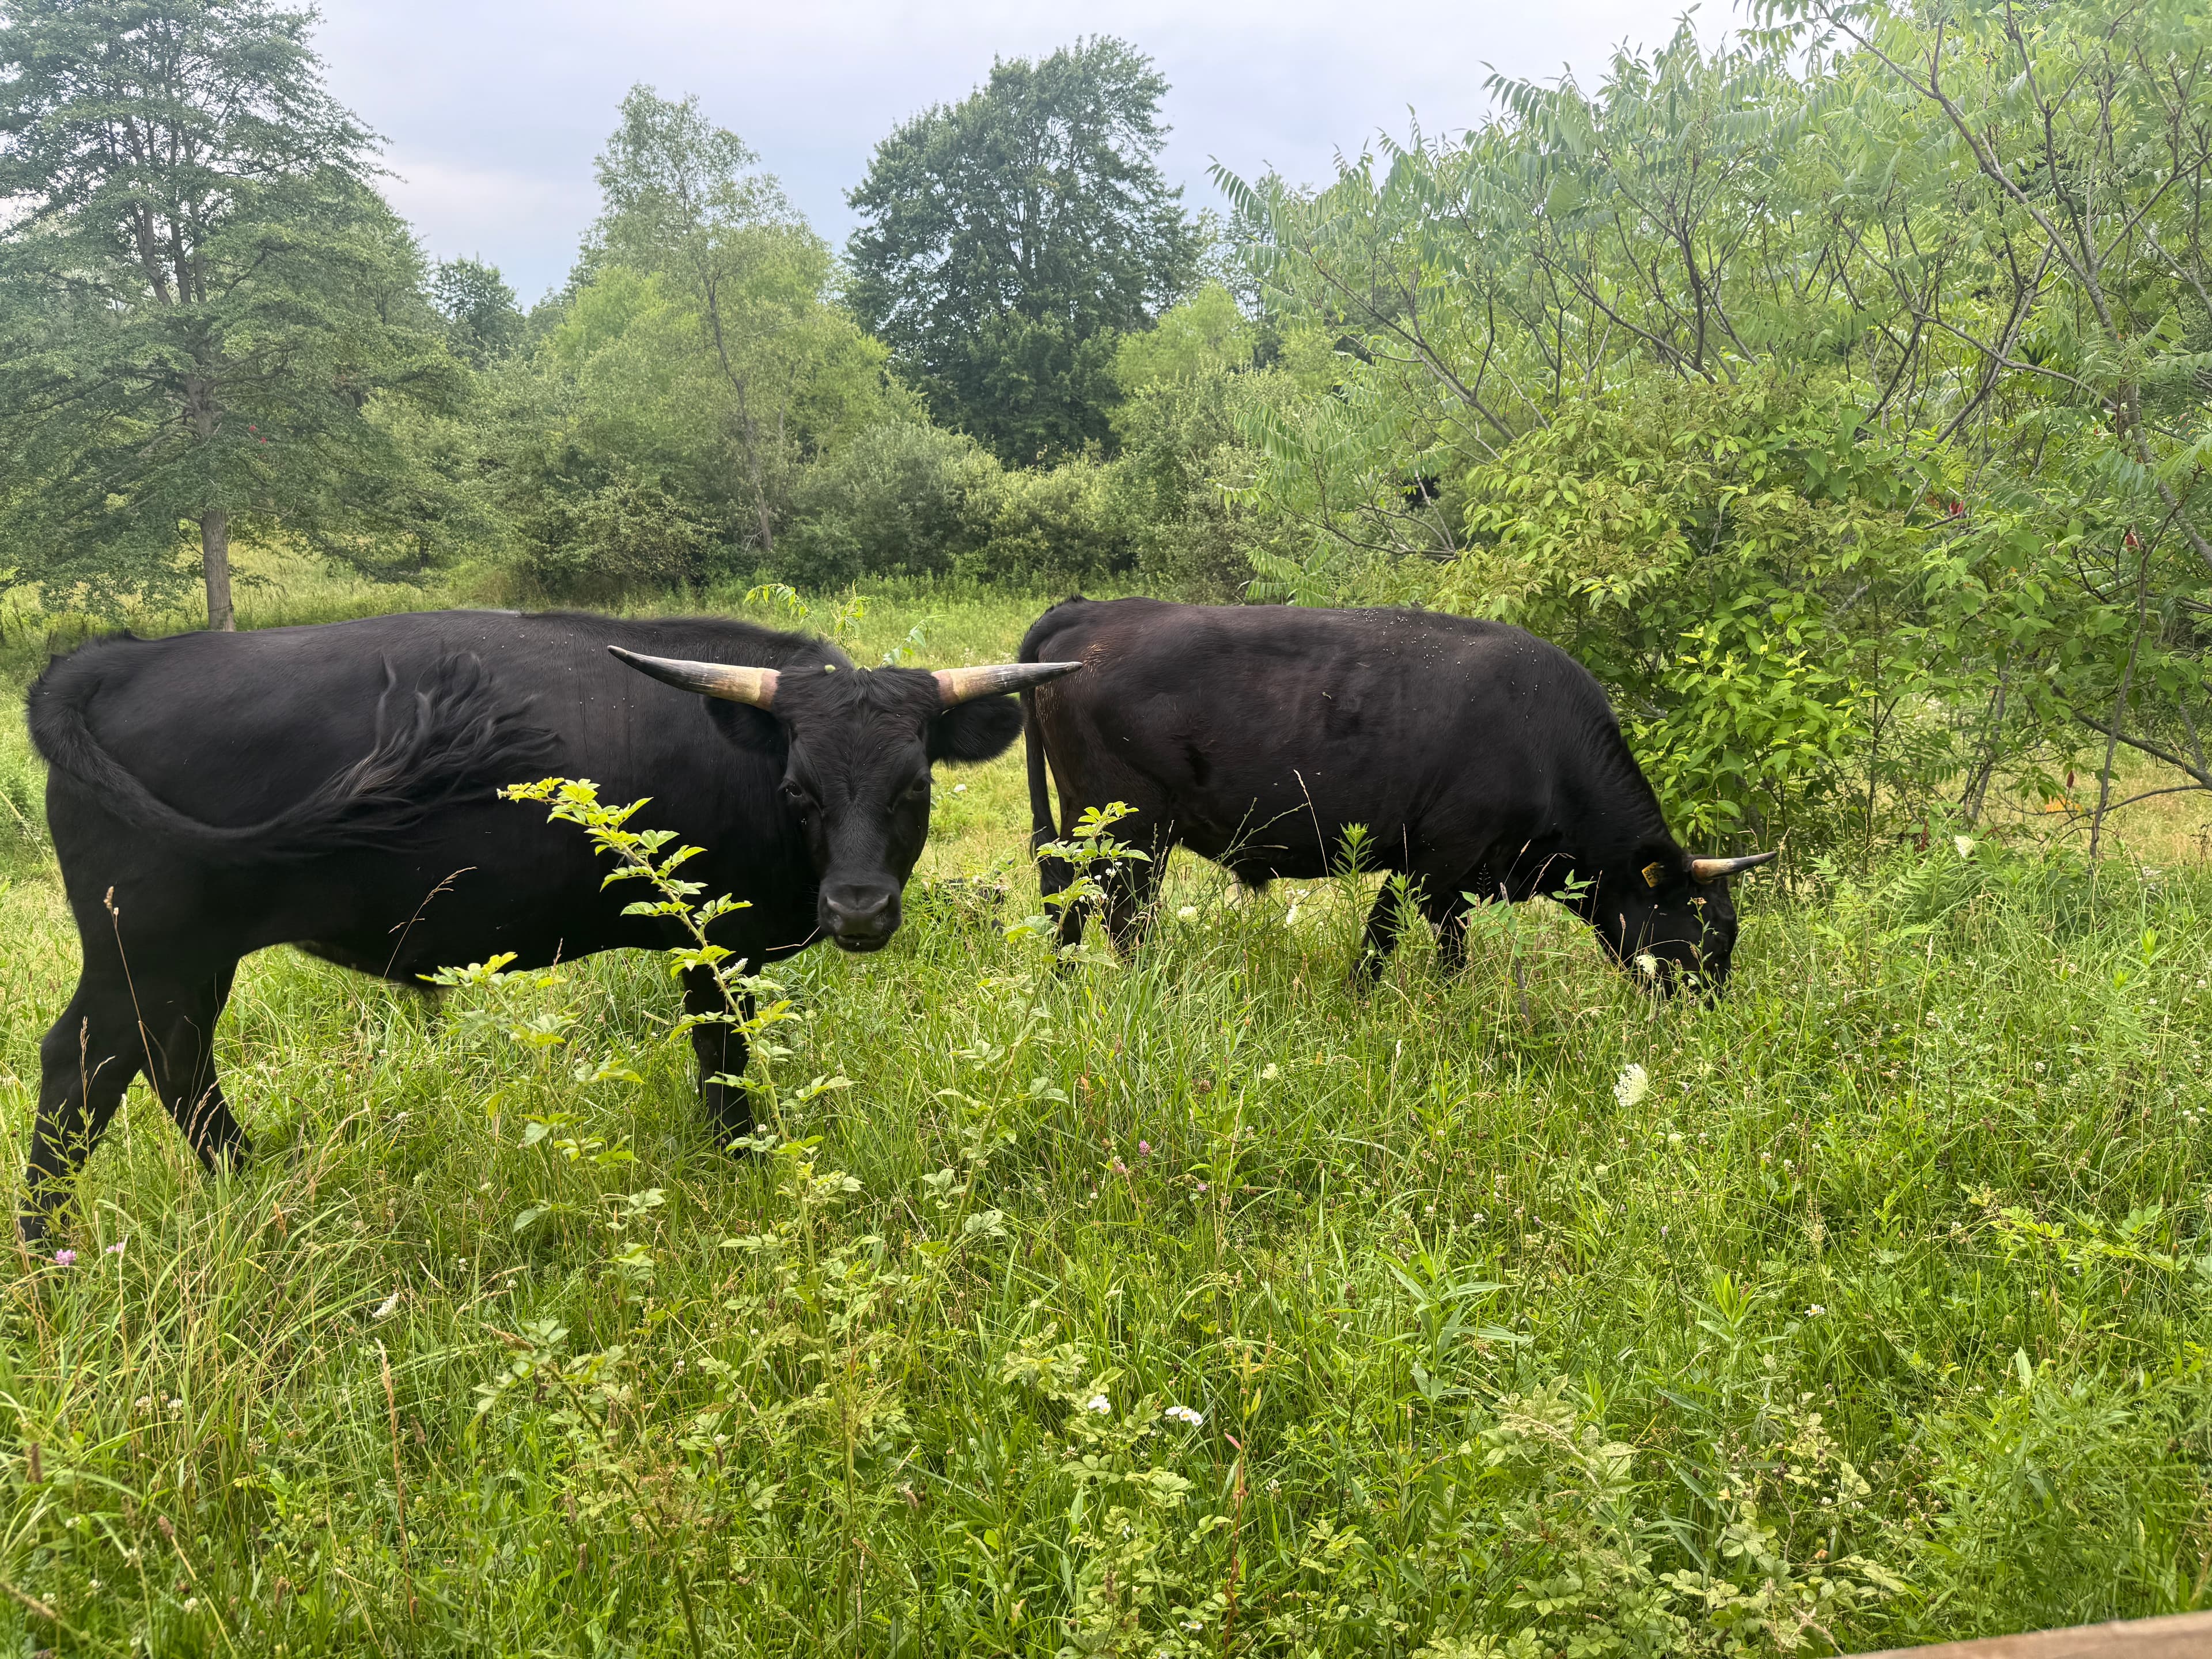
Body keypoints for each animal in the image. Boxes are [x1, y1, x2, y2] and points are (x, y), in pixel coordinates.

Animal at [19, 609, 1078, 1239]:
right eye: (799, 791)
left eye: (913, 788)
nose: (857, 908)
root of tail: (118, 660)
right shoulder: (712, 940)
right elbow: (722, 1062)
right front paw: (739, 1168)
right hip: (141, 943)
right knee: (84, 1065)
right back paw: (44, 1250)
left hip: (194, 954)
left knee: (175, 1061)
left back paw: (252, 1185)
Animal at [1017, 597, 1773, 989]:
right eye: (1712, 930)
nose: (1708, 1012)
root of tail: (1090, 609)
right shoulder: (1434, 854)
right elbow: (1382, 935)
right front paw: (1361, 1001)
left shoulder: (1464, 876)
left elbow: (1452, 944)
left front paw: (1449, 998)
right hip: (1131, 828)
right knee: (1121, 913)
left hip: (1090, 825)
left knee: (1067, 894)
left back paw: (1064, 981)